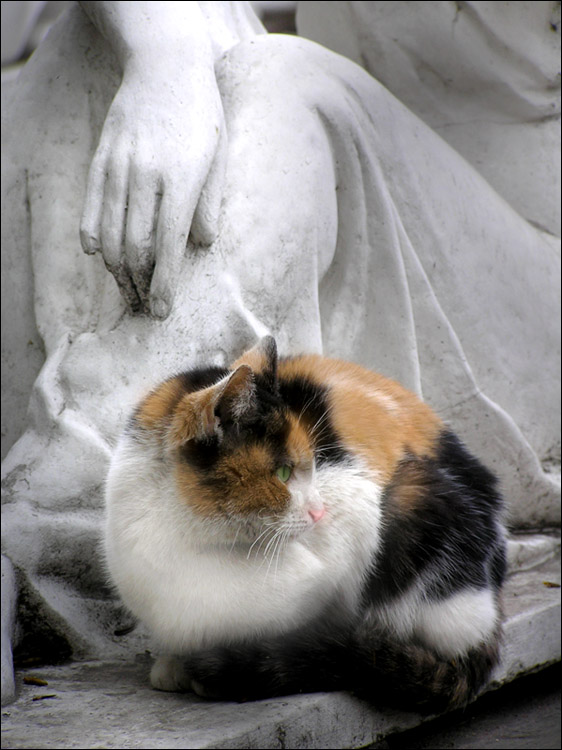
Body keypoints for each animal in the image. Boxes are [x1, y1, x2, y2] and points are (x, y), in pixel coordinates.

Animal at [104, 338, 504, 712]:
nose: (319, 511)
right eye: (282, 473)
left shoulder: (356, 515)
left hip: (420, 499)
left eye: (313, 465)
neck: (189, 541)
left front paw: (261, 657)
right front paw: (175, 663)